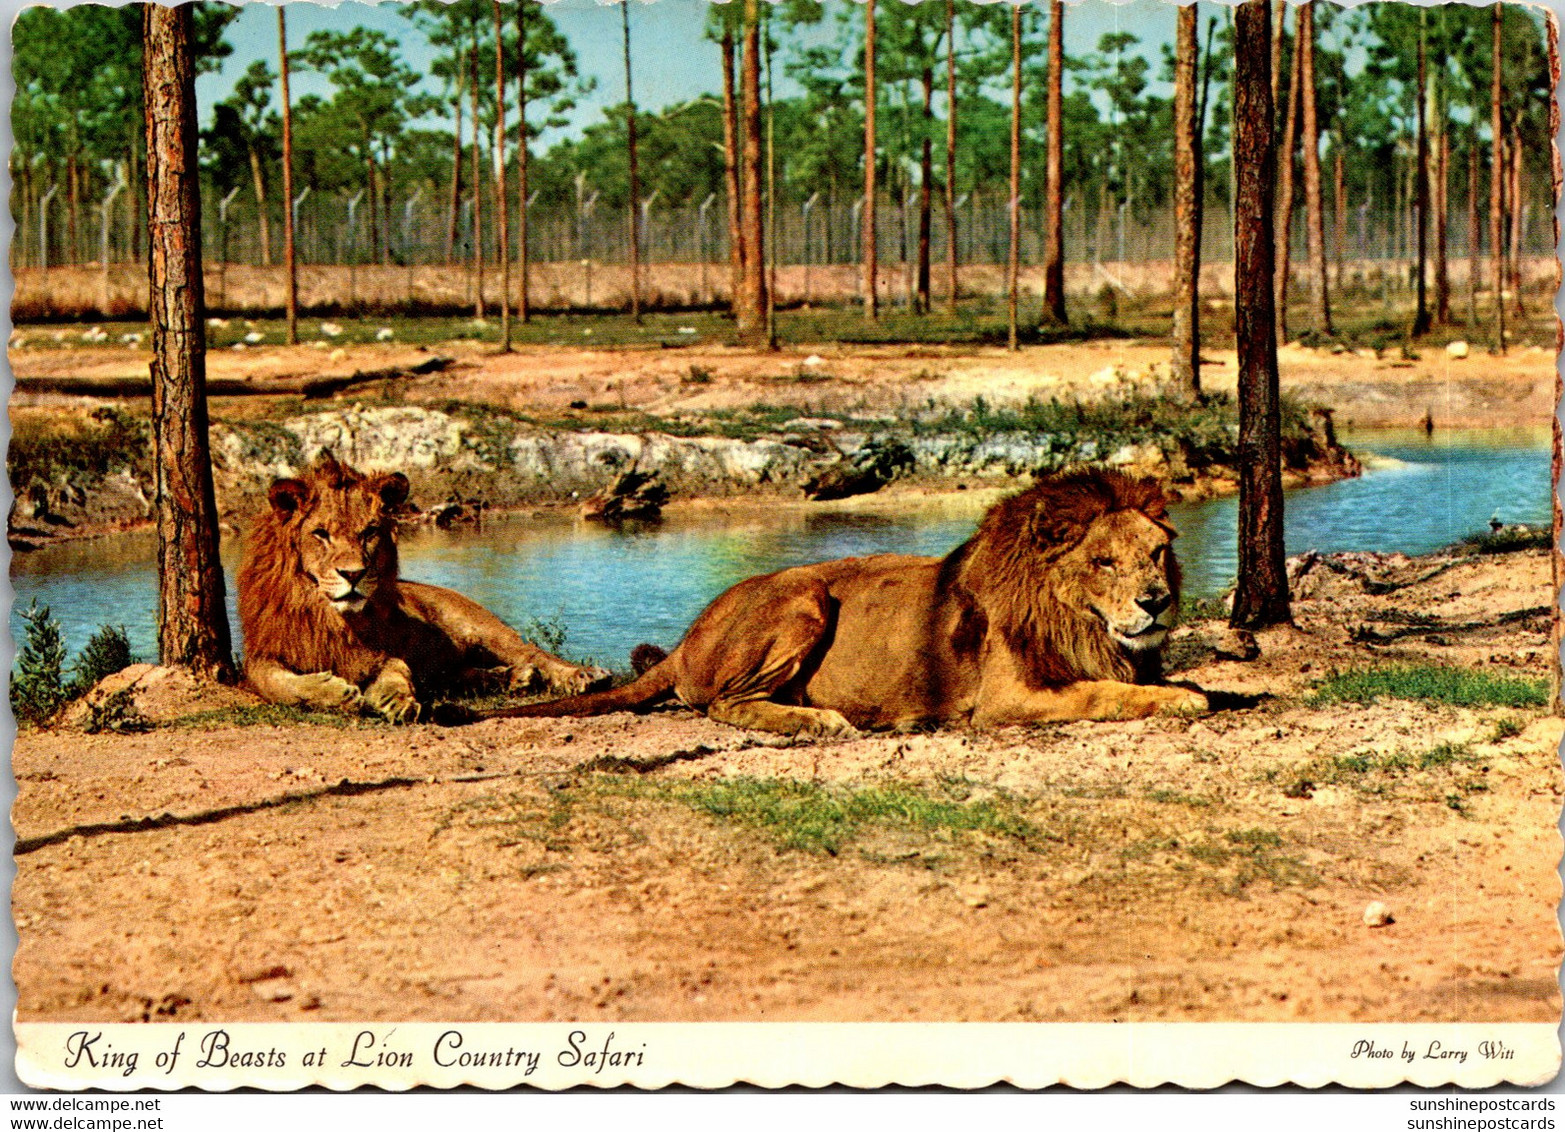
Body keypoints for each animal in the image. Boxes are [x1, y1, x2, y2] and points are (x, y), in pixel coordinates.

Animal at [236, 450, 604, 720]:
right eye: (321, 534)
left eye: (370, 532)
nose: (353, 574)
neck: (329, 616)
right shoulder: (262, 655)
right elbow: (278, 684)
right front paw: (336, 692)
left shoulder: (380, 653)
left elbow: (398, 671)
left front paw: (396, 701)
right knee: (464, 674)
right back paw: (516, 678)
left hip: (483, 628)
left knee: (533, 652)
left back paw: (582, 675)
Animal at [463, 469, 1208, 735]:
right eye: (1103, 561)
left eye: (1156, 552)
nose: (1158, 602)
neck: (1082, 623)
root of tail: (686, 639)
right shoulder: (1007, 699)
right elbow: (1106, 694)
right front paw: (1182, 700)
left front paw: (1187, 687)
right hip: (803, 598)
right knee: (722, 705)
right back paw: (821, 722)